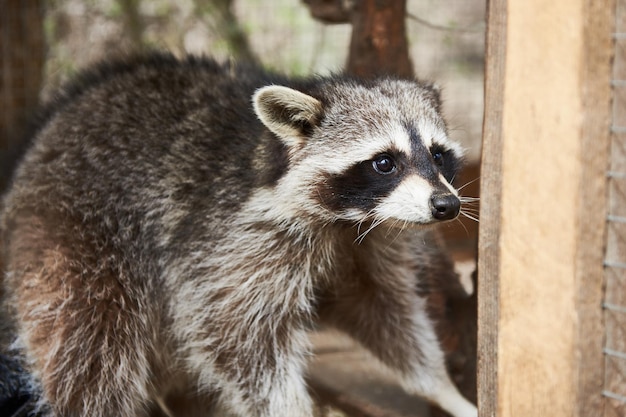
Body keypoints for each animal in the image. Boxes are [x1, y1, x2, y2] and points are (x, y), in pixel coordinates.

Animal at [1, 54, 472, 416]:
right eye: (385, 162)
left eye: (437, 155)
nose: (446, 206)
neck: (346, 219)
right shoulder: (229, 243)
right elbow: (236, 339)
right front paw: (290, 409)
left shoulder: (364, 247)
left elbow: (388, 315)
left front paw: (440, 386)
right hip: (78, 238)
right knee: (89, 352)